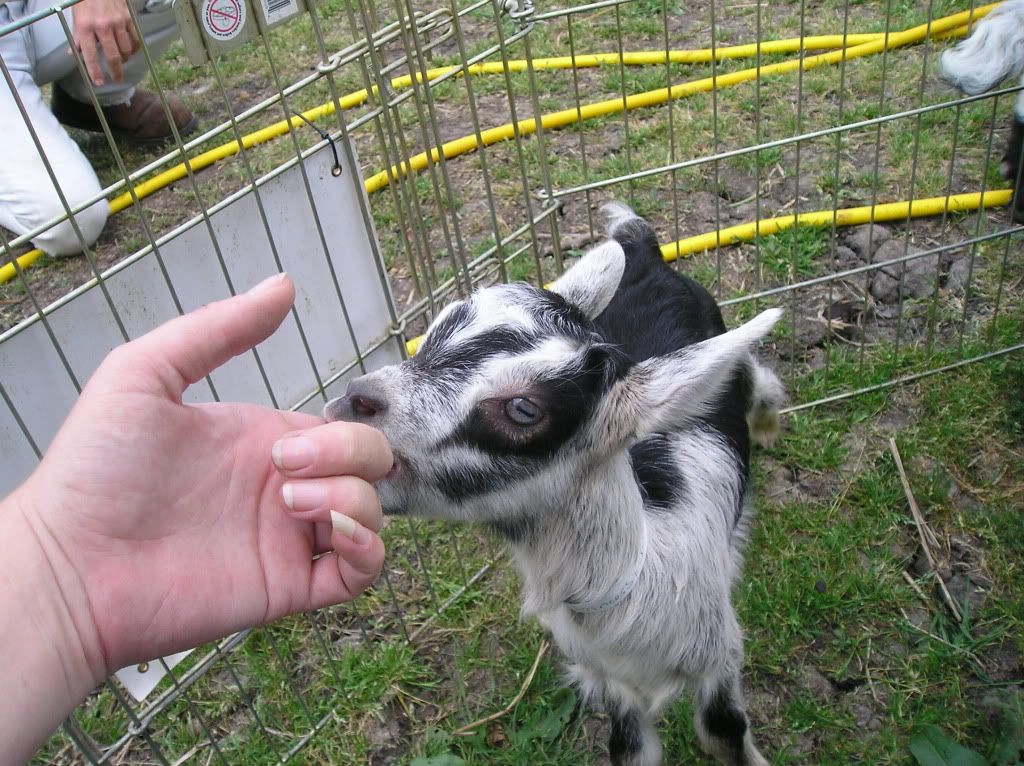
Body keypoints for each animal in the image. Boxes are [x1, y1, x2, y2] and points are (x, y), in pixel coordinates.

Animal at [325, 202, 784, 766]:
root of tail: (648, 254)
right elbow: (629, 749)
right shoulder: (612, 683)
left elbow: (723, 730)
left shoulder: (718, 655)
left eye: (524, 409)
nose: (352, 399)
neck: (641, 575)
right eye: (433, 334)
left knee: (753, 375)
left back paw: (766, 423)